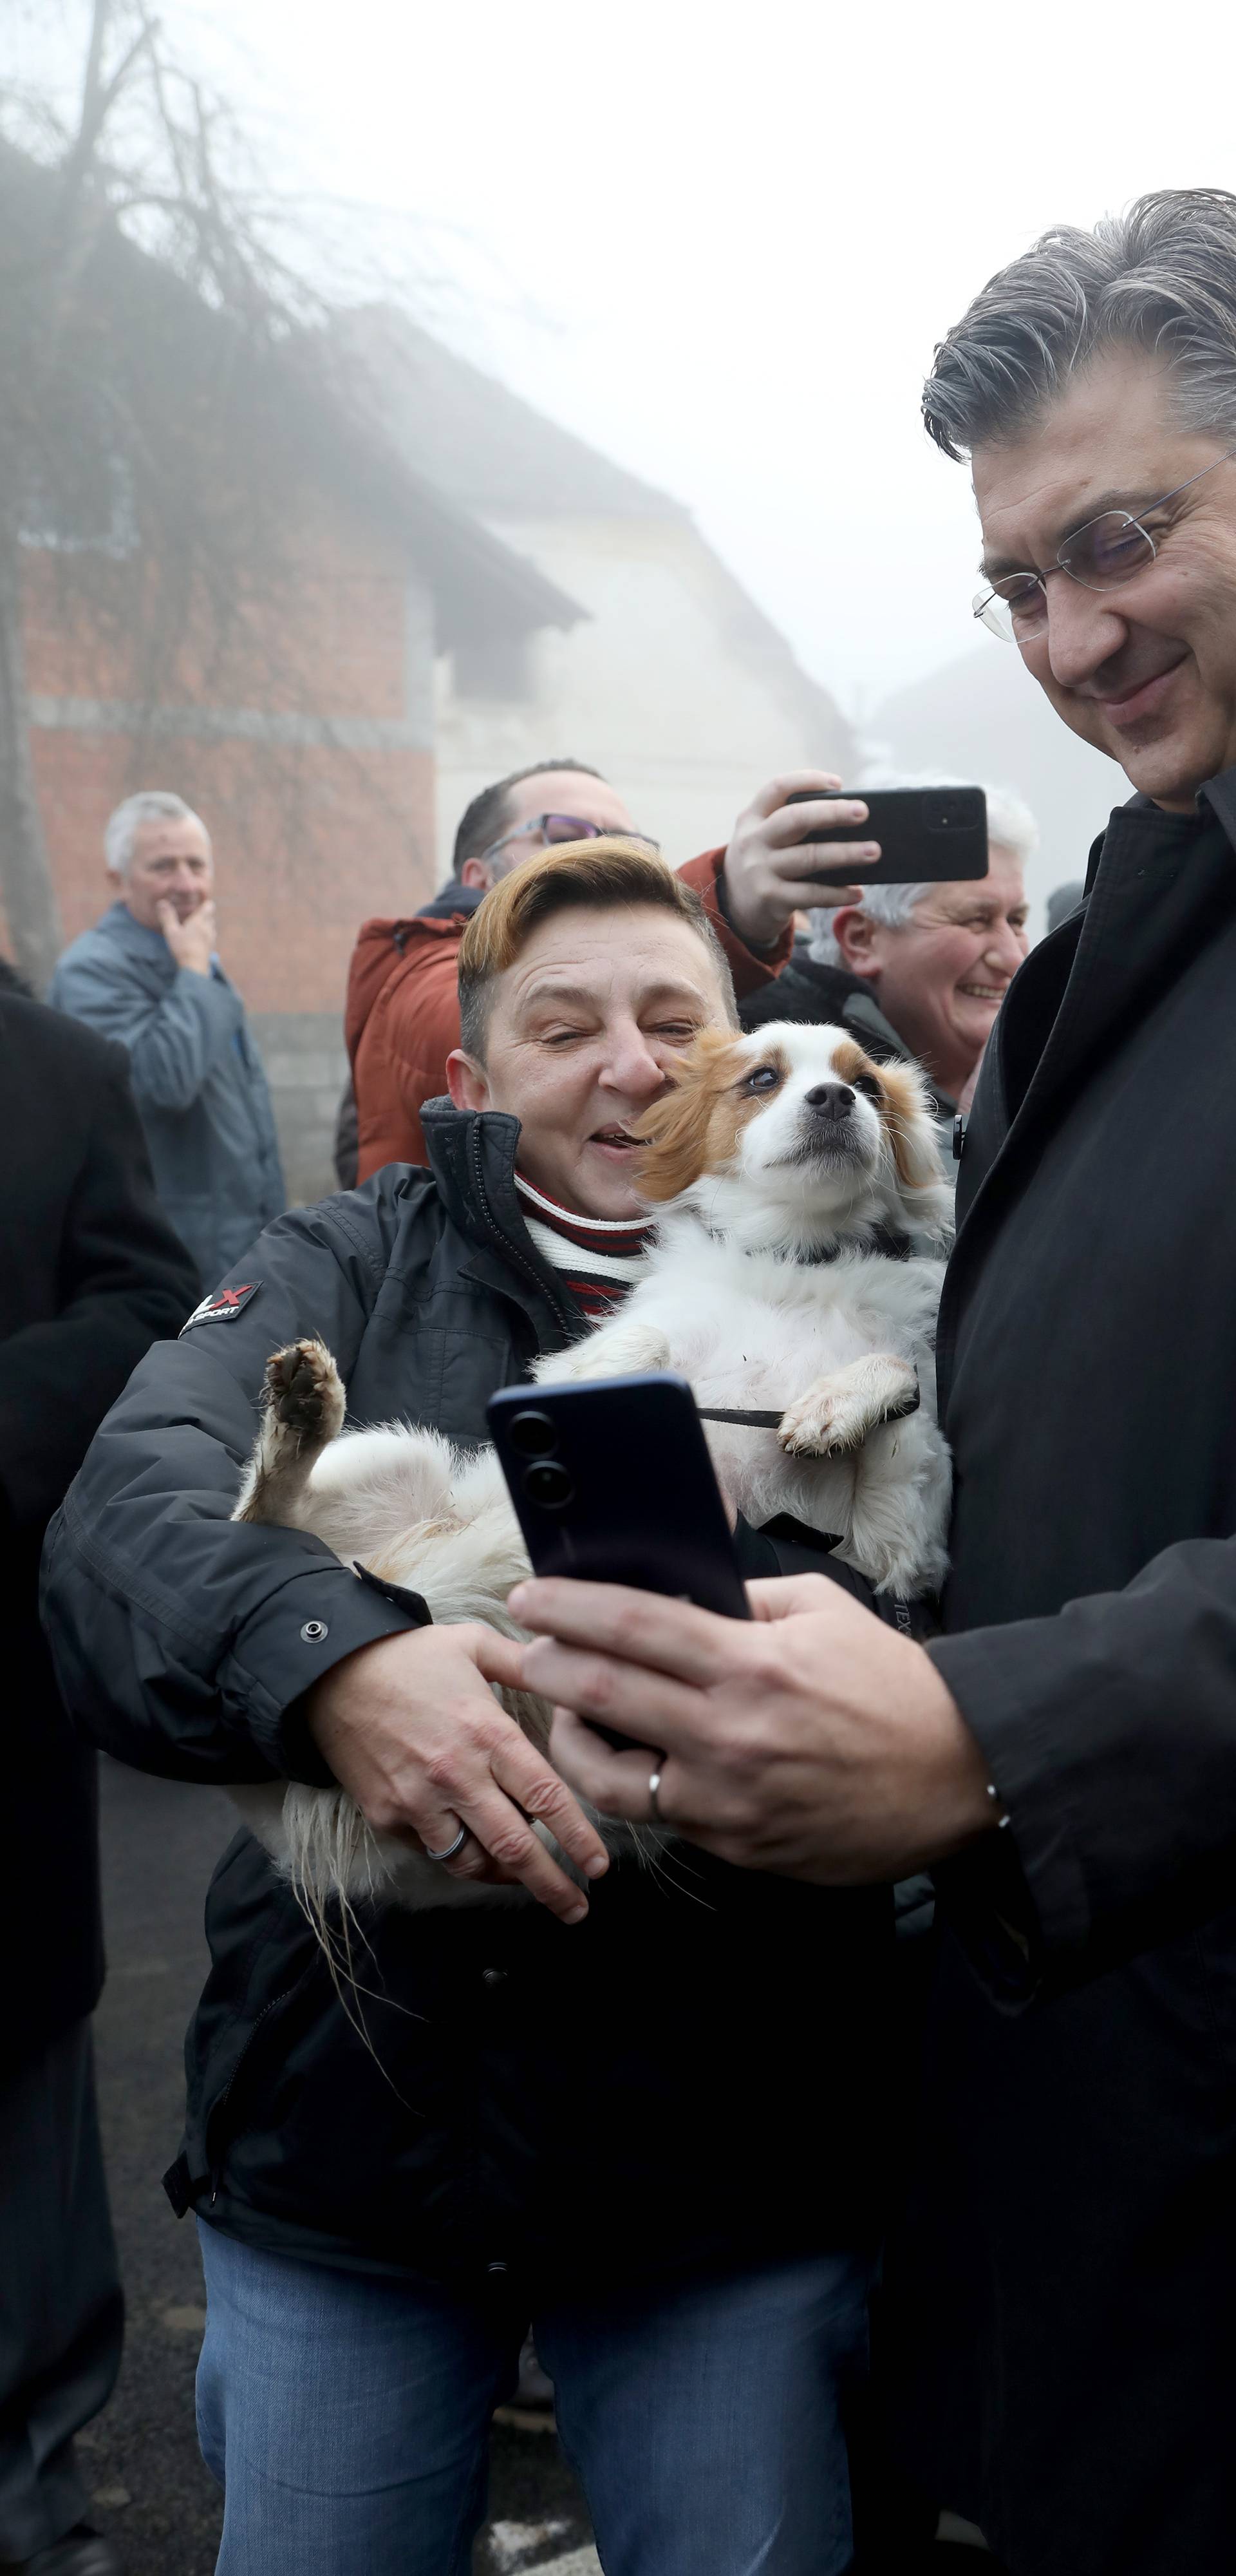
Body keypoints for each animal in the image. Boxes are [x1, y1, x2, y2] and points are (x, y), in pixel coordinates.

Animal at [232, 1025, 958, 1917]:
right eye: (763, 1078)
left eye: (870, 1086)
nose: (835, 1099)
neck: (799, 1261)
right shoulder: (601, 1360)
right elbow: (634, 1345)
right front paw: (620, 1392)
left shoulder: (894, 1556)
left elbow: (901, 1376)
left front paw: (833, 1402)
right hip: (396, 1456)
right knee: (257, 1516)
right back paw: (302, 1412)